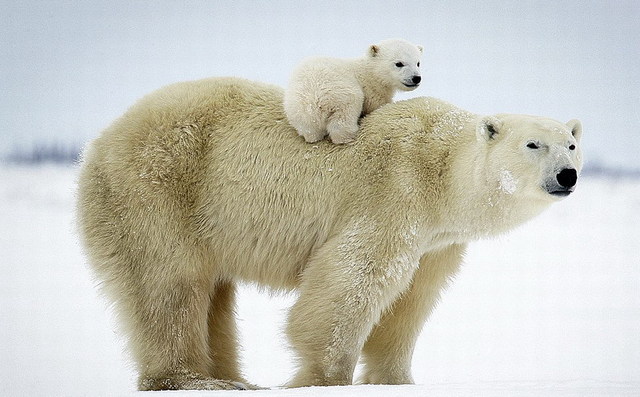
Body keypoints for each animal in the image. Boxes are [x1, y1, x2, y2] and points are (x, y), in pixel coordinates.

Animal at [77, 76, 584, 390]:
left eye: (572, 143)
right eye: (533, 144)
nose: (568, 175)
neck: (439, 169)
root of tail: (101, 140)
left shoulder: (438, 240)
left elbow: (413, 299)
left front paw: (396, 380)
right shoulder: (393, 192)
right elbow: (354, 278)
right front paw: (324, 378)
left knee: (213, 294)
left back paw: (237, 378)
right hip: (159, 187)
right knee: (170, 282)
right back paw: (196, 380)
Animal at [284, 38, 422, 144]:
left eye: (418, 63)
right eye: (399, 63)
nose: (416, 78)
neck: (370, 73)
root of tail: (313, 101)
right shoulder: (371, 91)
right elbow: (376, 106)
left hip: (297, 110)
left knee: (309, 129)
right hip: (341, 96)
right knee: (343, 120)